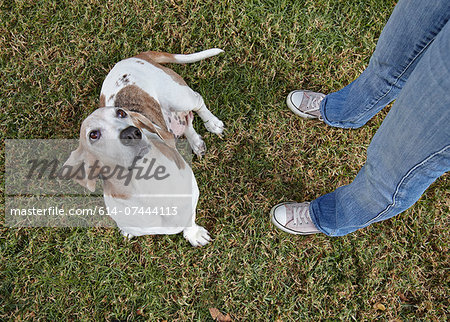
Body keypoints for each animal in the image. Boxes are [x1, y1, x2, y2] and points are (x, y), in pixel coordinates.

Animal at [63, 47, 225, 245]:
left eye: (121, 113)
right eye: (93, 135)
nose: (132, 132)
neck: (145, 184)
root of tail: (135, 57)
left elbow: (189, 220)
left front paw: (194, 235)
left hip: (181, 97)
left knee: (198, 104)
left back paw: (212, 123)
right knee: (185, 122)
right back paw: (195, 142)